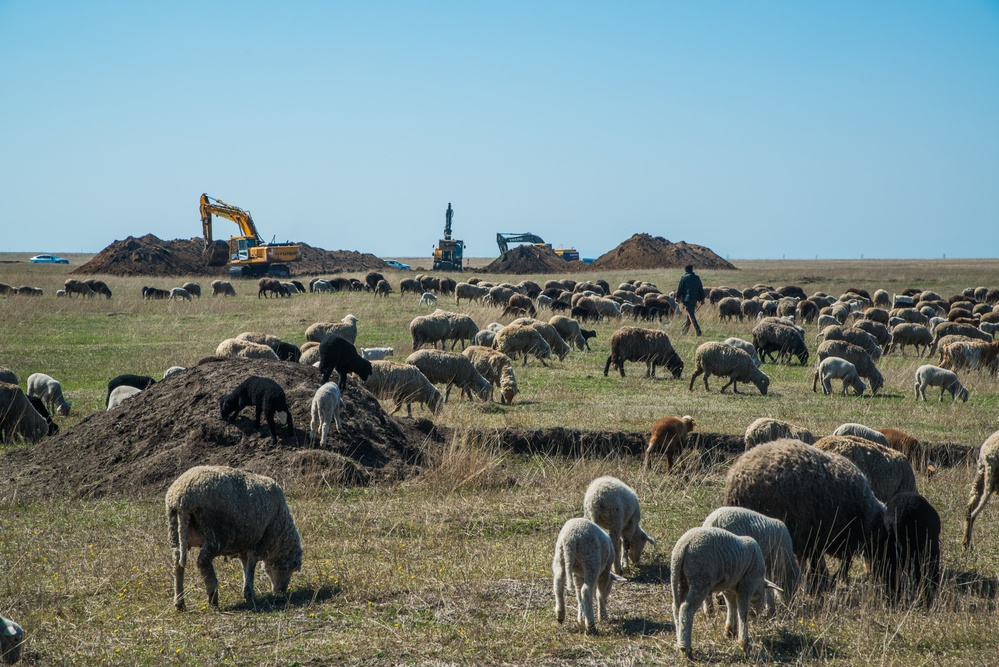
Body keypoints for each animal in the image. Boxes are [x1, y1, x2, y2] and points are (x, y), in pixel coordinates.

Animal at [166, 464, 300, 612]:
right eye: (289, 569)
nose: (281, 591)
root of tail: (182, 497)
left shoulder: (245, 544)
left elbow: (245, 566)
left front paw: (247, 592)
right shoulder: (258, 543)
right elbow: (251, 567)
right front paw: (250, 594)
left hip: (175, 530)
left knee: (177, 562)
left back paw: (179, 602)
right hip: (215, 533)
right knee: (203, 561)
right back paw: (213, 597)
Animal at [672, 528, 780, 660]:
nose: (756, 617)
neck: (758, 583)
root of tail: (682, 547)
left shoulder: (729, 587)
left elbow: (731, 605)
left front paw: (730, 631)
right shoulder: (747, 583)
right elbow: (742, 610)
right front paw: (744, 644)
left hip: (681, 578)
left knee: (676, 607)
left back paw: (679, 642)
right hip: (700, 578)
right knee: (686, 608)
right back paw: (686, 649)